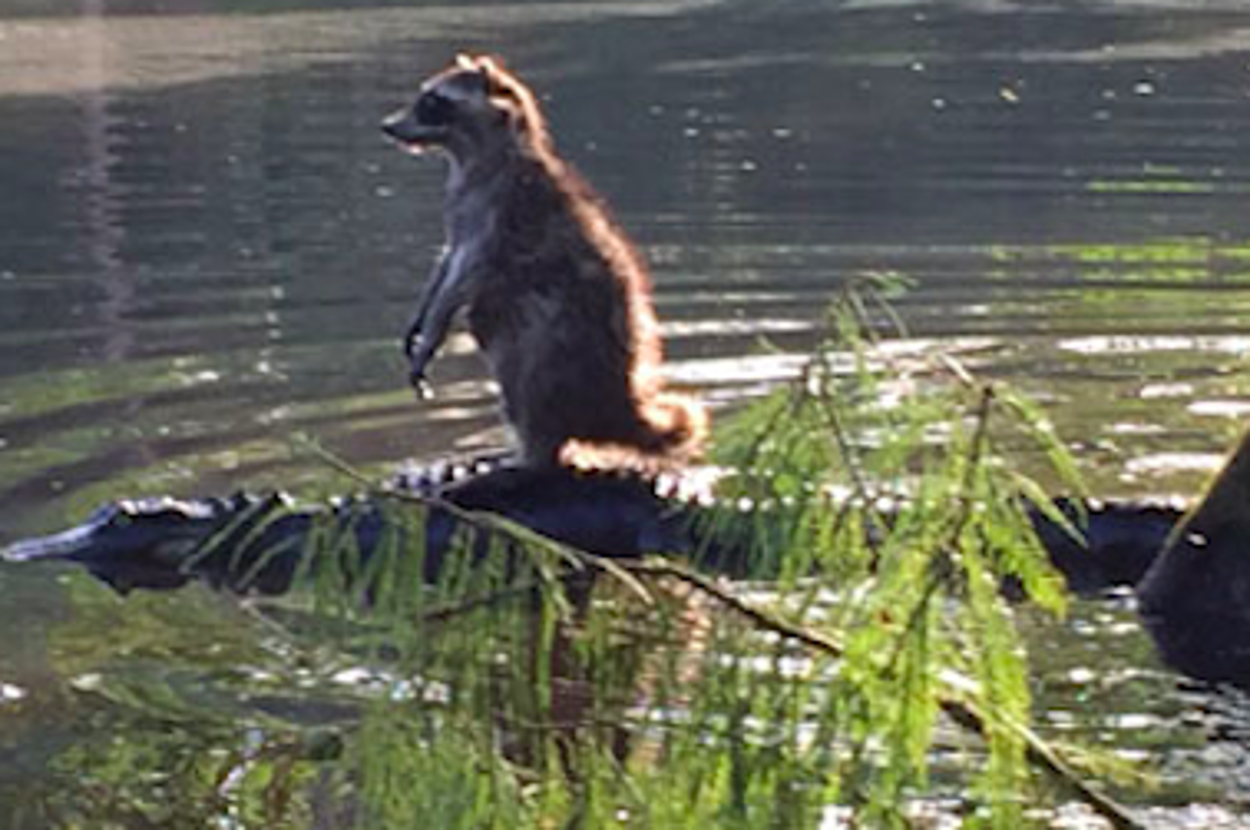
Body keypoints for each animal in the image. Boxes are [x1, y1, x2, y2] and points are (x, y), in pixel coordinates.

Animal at [381, 54, 706, 468]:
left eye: (432, 101)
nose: (387, 126)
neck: (470, 154)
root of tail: (616, 406)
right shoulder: (461, 208)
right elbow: (447, 260)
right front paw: (421, 316)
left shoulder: (497, 209)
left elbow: (463, 273)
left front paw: (432, 332)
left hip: (559, 345)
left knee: (526, 367)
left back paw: (530, 450)